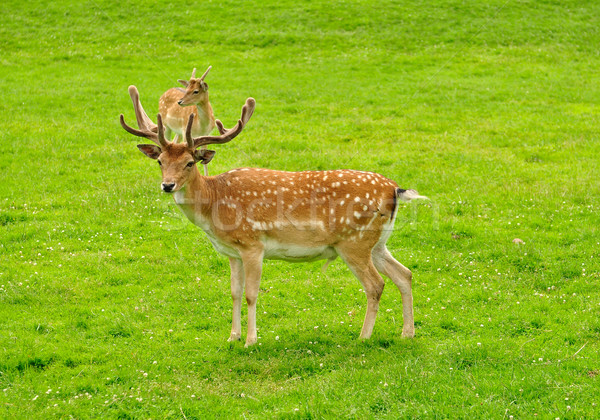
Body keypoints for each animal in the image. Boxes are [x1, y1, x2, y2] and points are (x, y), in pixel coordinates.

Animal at [119, 88, 424, 344]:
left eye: (190, 163)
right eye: (160, 162)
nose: (167, 185)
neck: (214, 207)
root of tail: (394, 189)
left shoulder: (253, 244)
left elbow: (251, 294)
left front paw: (251, 341)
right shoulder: (232, 253)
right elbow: (234, 292)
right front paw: (232, 337)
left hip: (354, 243)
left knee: (376, 284)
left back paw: (363, 337)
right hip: (377, 242)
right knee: (404, 274)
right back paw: (407, 333)